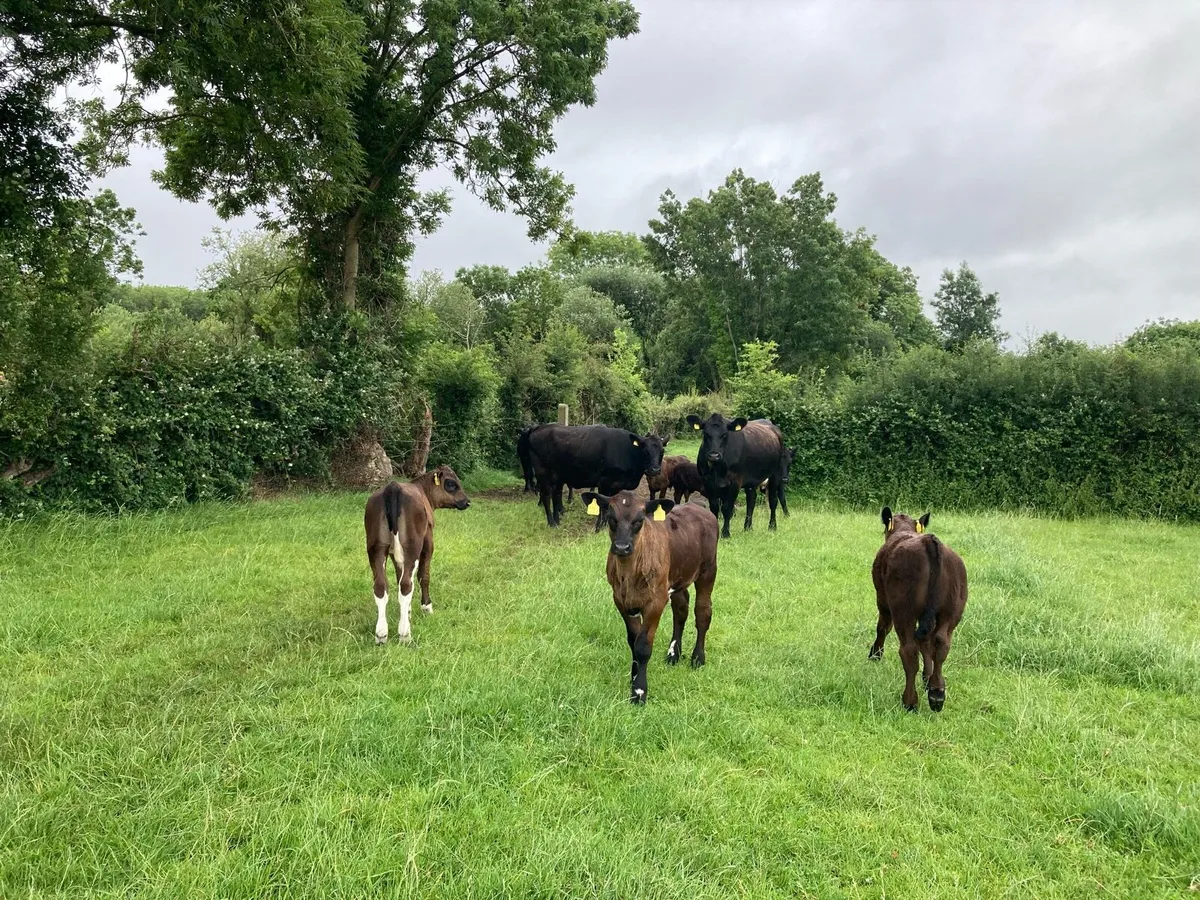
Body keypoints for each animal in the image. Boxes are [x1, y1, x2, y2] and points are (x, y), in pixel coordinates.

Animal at [364, 466, 470, 644]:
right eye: (451, 483)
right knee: (407, 584)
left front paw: (407, 612)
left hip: (376, 547)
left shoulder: (394, 554)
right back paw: (405, 634)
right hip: (412, 546)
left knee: (382, 585)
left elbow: (399, 577)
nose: (467, 501)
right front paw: (426, 607)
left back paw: (381, 634)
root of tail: (393, 487)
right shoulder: (428, 541)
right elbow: (423, 576)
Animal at [527, 424, 667, 528]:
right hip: (543, 474)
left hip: (558, 476)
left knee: (556, 495)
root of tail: (539, 428)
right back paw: (552, 523)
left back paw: (557, 520)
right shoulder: (604, 482)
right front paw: (600, 526)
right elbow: (603, 507)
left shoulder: (617, 485)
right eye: (646, 451)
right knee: (546, 496)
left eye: (662, 452)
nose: (654, 470)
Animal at [582, 490, 718, 704]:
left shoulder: (656, 601)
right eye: (611, 518)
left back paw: (697, 658)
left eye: (639, 520)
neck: (629, 575)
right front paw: (633, 678)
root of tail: (697, 504)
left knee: (703, 611)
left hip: (708, 570)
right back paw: (673, 654)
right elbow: (633, 641)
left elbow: (643, 645)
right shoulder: (621, 600)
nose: (622, 547)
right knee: (681, 609)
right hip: (677, 578)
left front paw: (639, 692)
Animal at [869, 508, 968, 712]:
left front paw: (875, 654)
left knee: (909, 650)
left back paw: (910, 702)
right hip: (952, 611)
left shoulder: (882, 599)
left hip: (903, 610)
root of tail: (928, 541)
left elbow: (882, 627)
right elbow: (927, 643)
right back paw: (937, 693)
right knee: (941, 643)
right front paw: (927, 678)